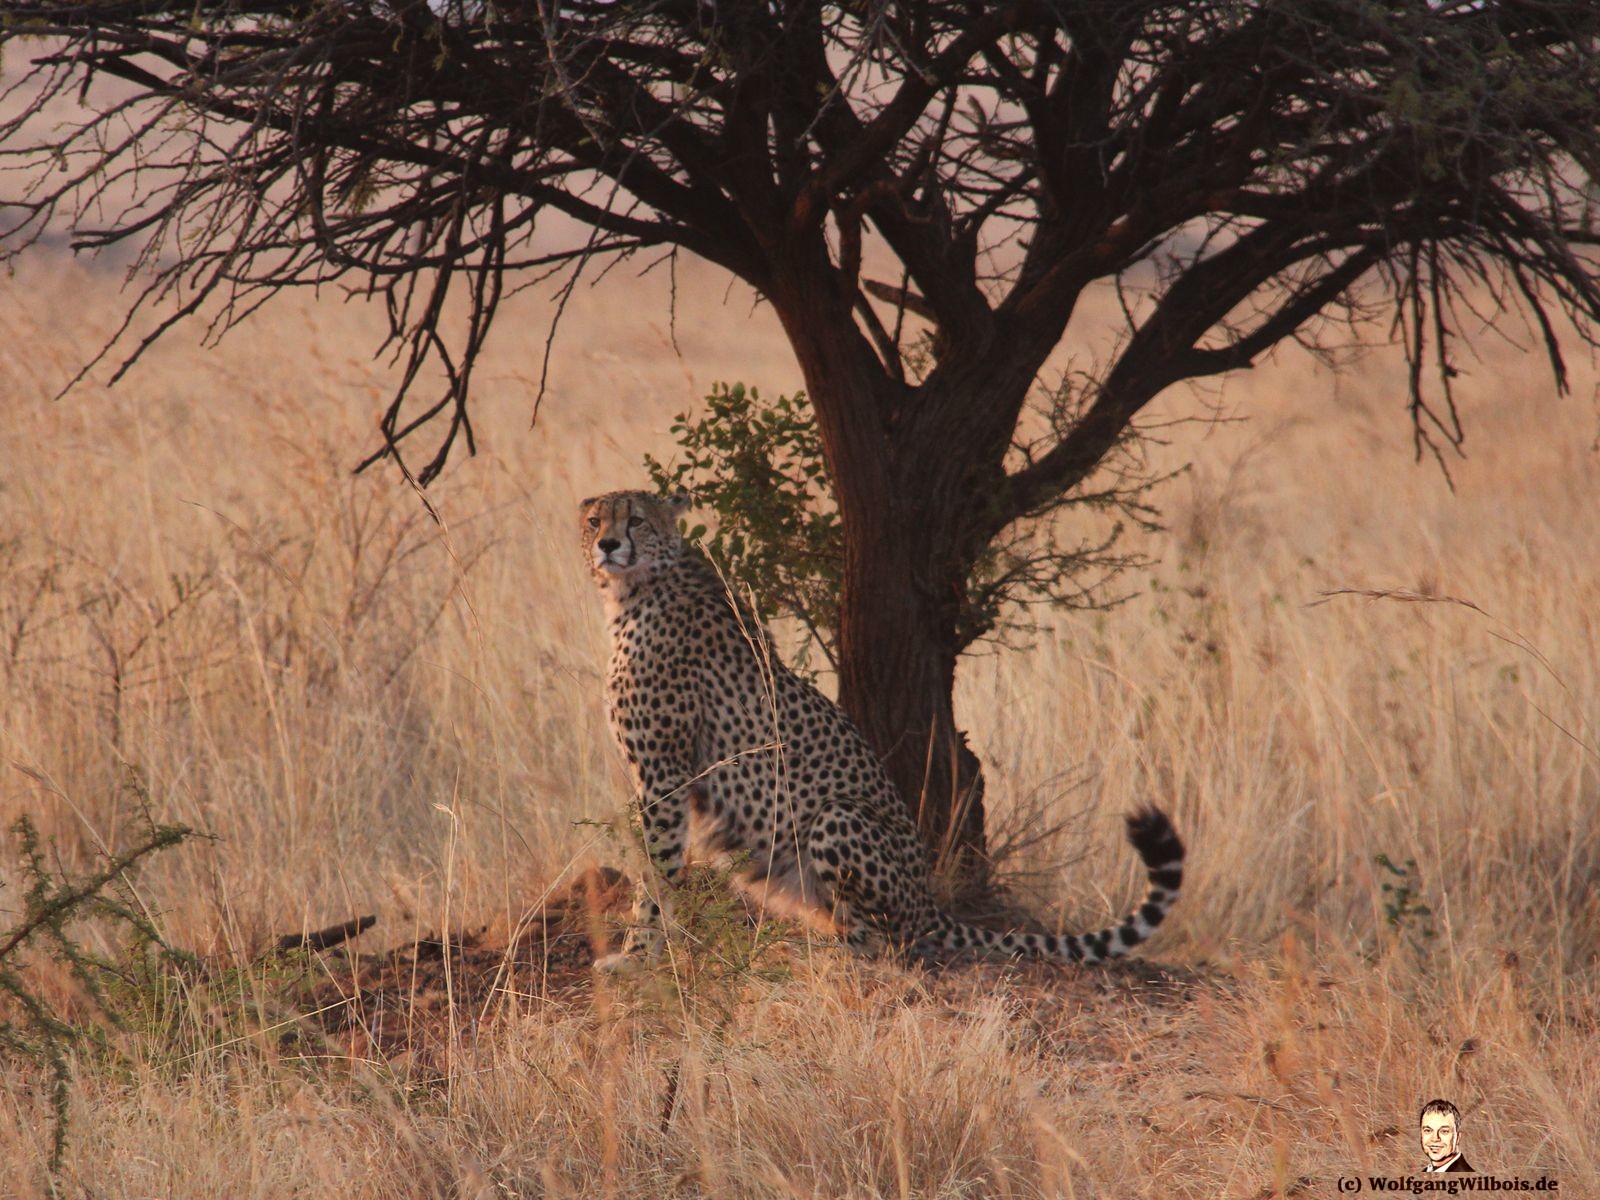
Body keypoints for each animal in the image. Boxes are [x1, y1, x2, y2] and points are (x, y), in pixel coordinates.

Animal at [582, 489, 1184, 966]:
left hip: (836, 817)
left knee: (889, 946)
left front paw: (637, 956)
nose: (607, 545)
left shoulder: (664, 775)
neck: (636, 590)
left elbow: (657, 871)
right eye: (594, 520)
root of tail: (928, 903)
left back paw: (835, 955)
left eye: (636, 520)